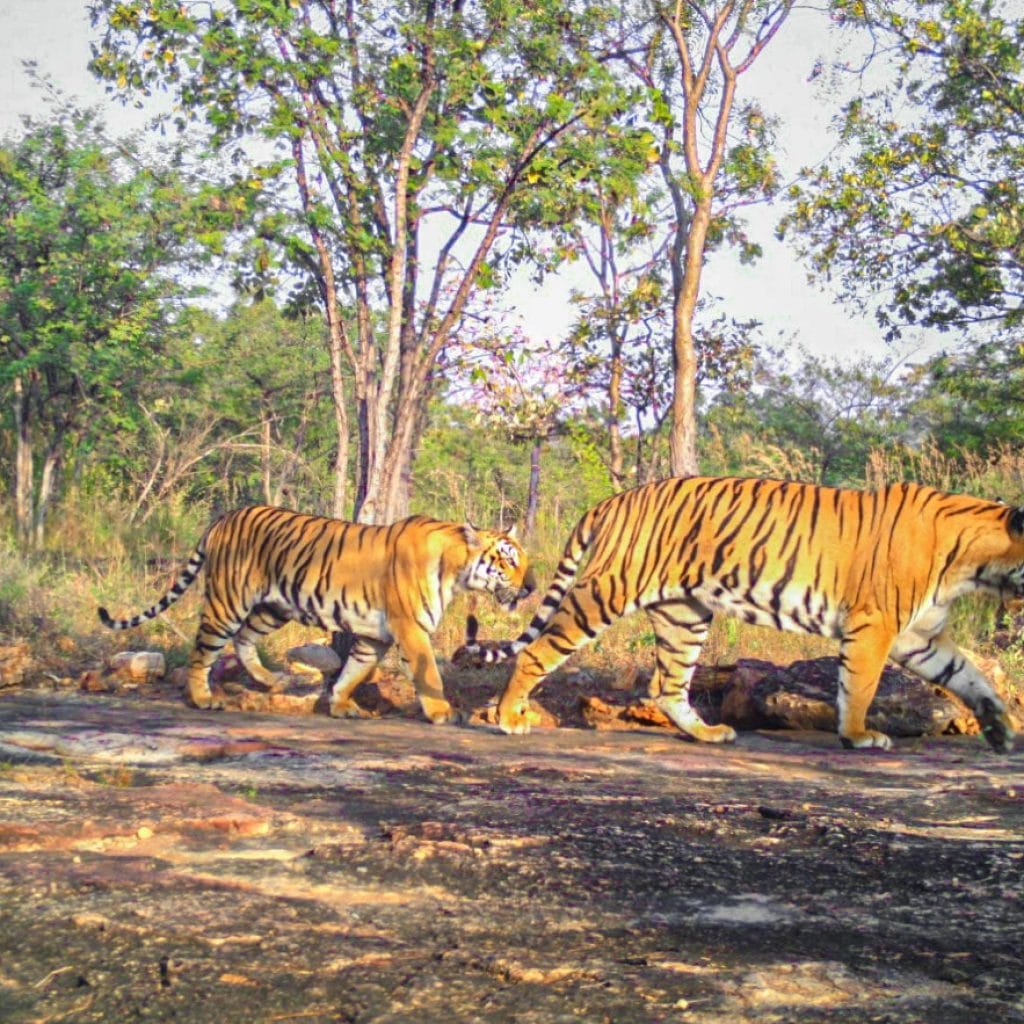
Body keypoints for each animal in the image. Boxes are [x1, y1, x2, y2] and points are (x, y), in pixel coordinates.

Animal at [99, 505, 535, 723]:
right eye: (509, 561)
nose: (531, 587)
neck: (456, 568)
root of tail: (223, 517)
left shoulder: (374, 635)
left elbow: (354, 670)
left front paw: (340, 705)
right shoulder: (410, 628)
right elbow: (428, 673)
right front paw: (443, 712)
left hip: (273, 607)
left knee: (243, 640)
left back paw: (270, 681)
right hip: (228, 601)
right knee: (203, 650)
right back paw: (203, 698)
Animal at [458, 476, 1022, 752]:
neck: (976, 563)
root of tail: (616, 498)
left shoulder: (919, 637)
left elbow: (970, 677)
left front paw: (1001, 729)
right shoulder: (875, 626)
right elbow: (859, 687)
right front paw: (859, 736)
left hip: (683, 615)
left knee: (666, 685)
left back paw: (708, 733)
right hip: (604, 594)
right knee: (535, 651)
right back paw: (508, 718)